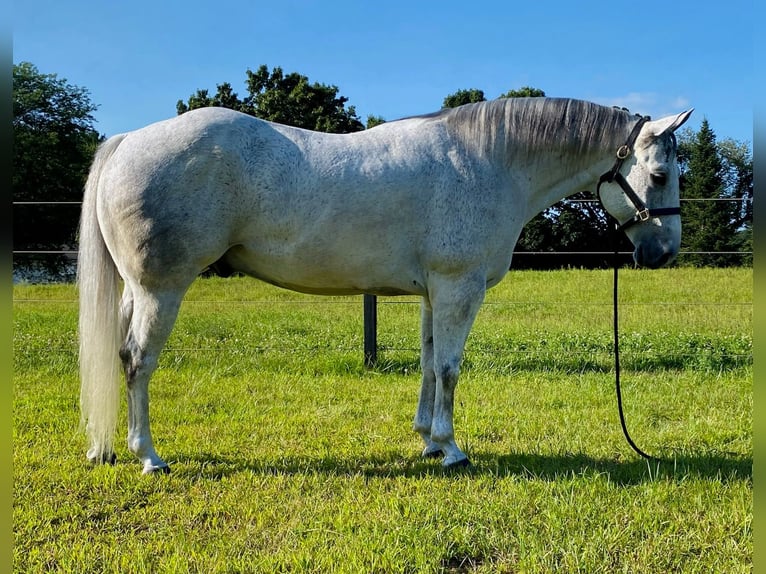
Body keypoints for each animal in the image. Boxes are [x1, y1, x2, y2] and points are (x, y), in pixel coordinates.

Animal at [77, 97, 692, 474]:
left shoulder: (434, 293)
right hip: (161, 290)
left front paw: (426, 440)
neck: (489, 161)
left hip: (135, 291)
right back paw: (149, 456)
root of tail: (128, 139)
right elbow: (450, 368)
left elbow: (428, 364)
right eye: (659, 174)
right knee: (138, 361)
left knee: (120, 355)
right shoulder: (459, 288)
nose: (663, 253)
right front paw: (451, 449)